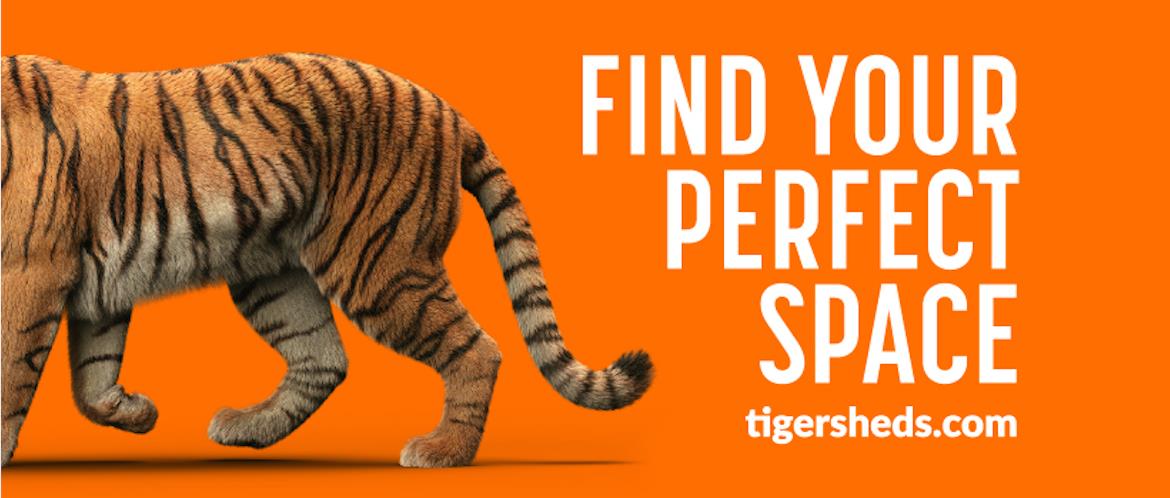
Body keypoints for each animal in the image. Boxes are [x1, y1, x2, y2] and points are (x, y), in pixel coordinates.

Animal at [0, 53, 653, 467]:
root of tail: (447, 111)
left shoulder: (30, 272)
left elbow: (14, 372)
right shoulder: (92, 280)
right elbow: (91, 379)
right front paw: (133, 412)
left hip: (378, 265)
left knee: (478, 348)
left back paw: (443, 452)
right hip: (272, 273)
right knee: (323, 359)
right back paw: (250, 427)